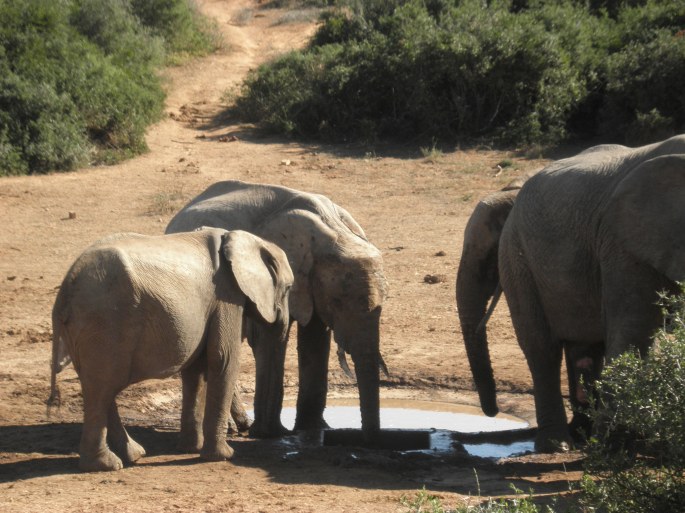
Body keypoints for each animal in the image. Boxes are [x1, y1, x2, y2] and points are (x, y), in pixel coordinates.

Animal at [49, 228, 293, 471]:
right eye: (289, 288)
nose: (253, 431)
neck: (242, 238)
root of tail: (65, 290)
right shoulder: (226, 297)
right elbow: (223, 360)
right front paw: (223, 456)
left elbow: (196, 370)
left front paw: (191, 449)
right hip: (105, 323)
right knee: (101, 389)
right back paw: (106, 465)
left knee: (100, 387)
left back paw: (133, 455)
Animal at [166, 181, 388, 444]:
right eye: (337, 301)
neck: (332, 232)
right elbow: (270, 335)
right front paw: (271, 434)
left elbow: (314, 338)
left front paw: (313, 429)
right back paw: (234, 428)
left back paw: (242, 425)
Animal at [491, 134, 685, 452]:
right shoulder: (622, 242)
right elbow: (635, 330)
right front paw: (618, 446)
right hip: (516, 255)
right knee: (542, 348)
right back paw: (557, 445)